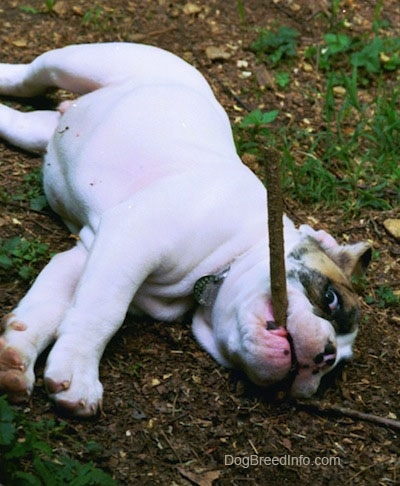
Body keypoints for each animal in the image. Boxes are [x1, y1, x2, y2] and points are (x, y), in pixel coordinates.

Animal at [0, 44, 372, 414]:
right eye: (330, 299)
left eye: (332, 371)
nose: (327, 356)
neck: (233, 255)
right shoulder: (132, 237)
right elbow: (104, 311)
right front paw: (78, 373)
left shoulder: (90, 254)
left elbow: (50, 306)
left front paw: (16, 357)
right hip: (80, 62)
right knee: (29, 77)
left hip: (36, 131)